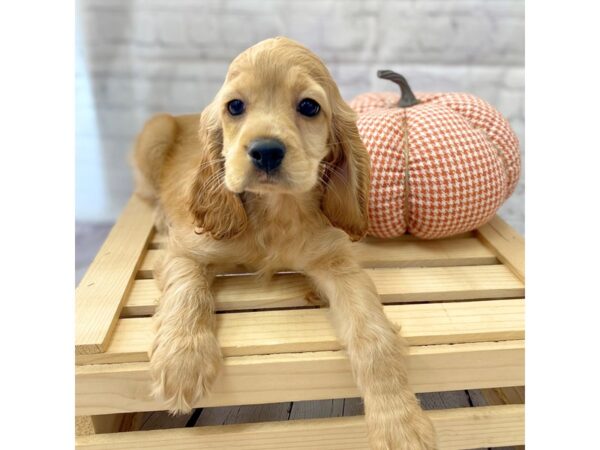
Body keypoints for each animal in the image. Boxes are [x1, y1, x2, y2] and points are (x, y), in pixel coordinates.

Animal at [132, 37, 436, 448]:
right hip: (154, 133)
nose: (265, 151)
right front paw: (182, 360)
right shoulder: (185, 250)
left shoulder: (338, 264)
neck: (276, 212)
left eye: (309, 106)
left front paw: (400, 421)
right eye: (235, 106)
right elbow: (188, 289)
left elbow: (373, 335)